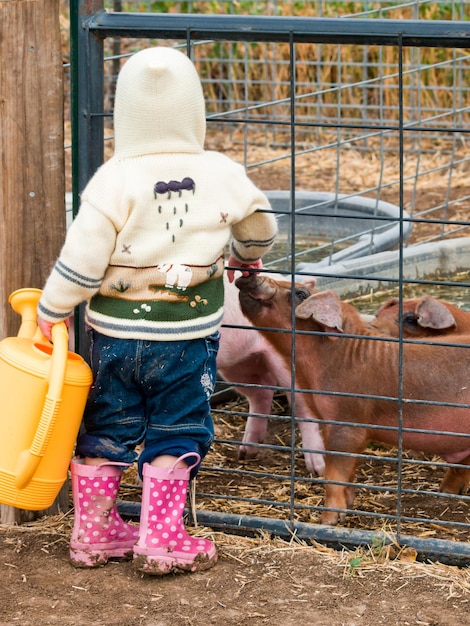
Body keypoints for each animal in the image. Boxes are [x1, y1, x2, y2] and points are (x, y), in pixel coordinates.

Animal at [237, 276, 470, 524]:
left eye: (300, 293)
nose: (249, 276)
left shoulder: (348, 422)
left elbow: (334, 473)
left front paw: (328, 521)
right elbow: (349, 469)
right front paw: (347, 507)